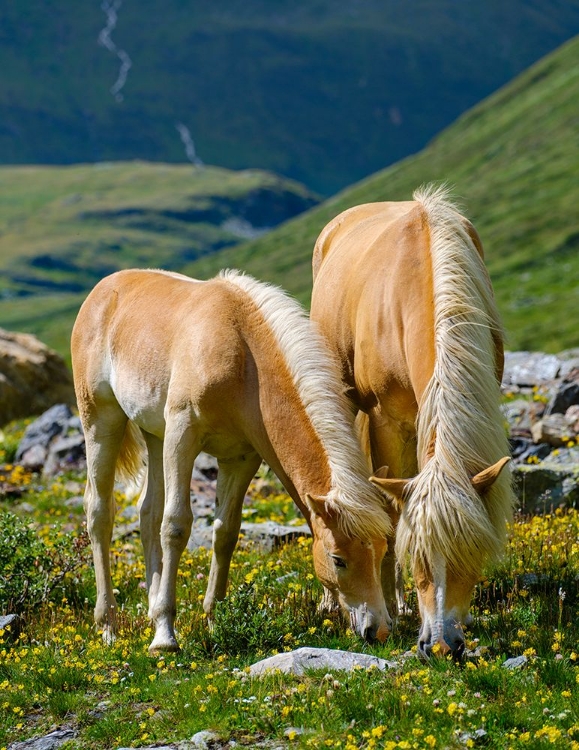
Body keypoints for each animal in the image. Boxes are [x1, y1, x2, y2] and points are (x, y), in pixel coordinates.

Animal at [70, 268, 392, 652]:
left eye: (383, 550)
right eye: (338, 560)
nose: (377, 630)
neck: (243, 356)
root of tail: (103, 289)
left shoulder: (241, 458)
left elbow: (225, 533)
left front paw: (213, 620)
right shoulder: (182, 435)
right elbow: (176, 525)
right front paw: (165, 635)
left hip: (154, 436)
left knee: (147, 512)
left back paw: (148, 608)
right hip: (101, 421)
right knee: (99, 512)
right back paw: (108, 626)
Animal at [310, 187, 516, 656]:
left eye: (470, 553)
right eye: (417, 556)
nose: (440, 645)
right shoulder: (387, 420)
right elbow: (388, 514)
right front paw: (390, 606)